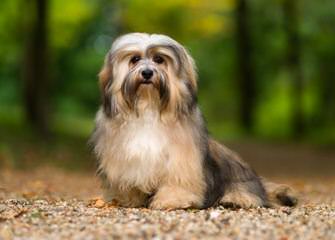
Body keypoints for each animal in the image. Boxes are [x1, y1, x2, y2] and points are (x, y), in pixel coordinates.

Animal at [90, 32, 300, 209]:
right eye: (134, 59)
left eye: (159, 59)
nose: (147, 73)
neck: (149, 108)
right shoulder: (125, 160)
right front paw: (129, 199)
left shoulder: (181, 160)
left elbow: (177, 181)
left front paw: (172, 200)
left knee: (250, 195)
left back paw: (235, 199)